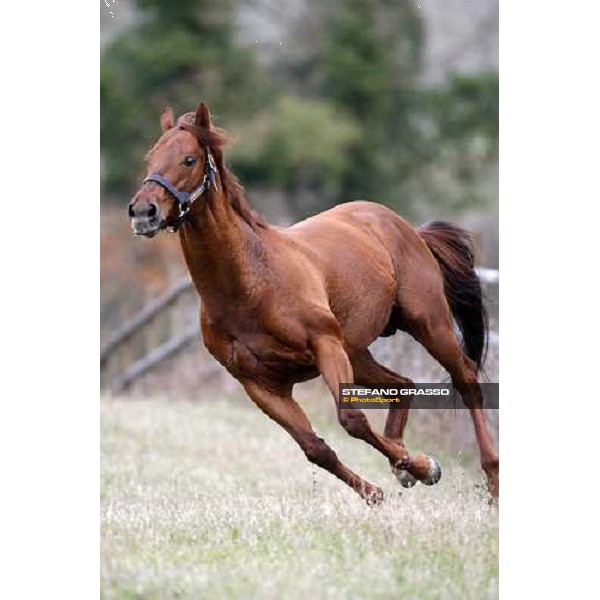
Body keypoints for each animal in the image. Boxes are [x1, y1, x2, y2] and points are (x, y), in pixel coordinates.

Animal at [129, 102, 500, 502]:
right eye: (150, 157)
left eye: (189, 159)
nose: (143, 212)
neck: (252, 284)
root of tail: (406, 227)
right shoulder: (260, 384)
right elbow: (315, 448)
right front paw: (381, 489)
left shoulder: (325, 346)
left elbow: (352, 420)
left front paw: (424, 467)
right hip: (357, 351)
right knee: (403, 384)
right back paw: (406, 464)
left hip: (427, 323)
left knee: (466, 379)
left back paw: (491, 480)